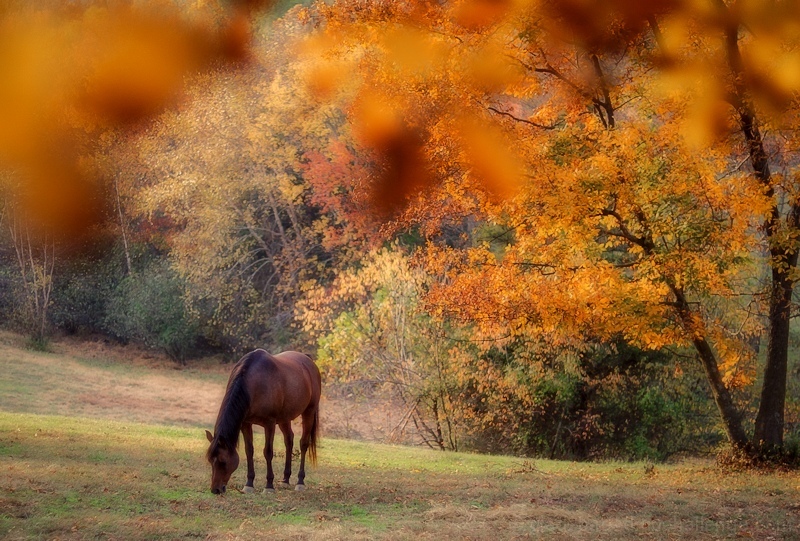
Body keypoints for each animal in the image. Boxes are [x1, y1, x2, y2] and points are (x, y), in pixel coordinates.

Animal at [205, 350, 320, 494]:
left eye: (223, 461)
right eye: (210, 460)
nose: (215, 490)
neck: (253, 383)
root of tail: (308, 360)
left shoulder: (269, 424)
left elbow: (268, 452)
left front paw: (269, 486)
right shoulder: (246, 423)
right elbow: (249, 450)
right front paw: (249, 484)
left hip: (309, 412)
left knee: (304, 444)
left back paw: (300, 482)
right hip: (284, 418)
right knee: (289, 440)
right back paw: (285, 479)